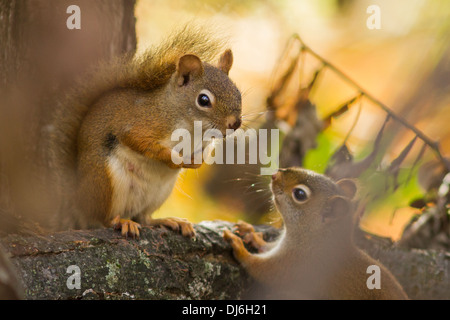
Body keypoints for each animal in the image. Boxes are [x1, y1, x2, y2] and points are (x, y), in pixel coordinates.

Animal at [50, 26, 243, 238]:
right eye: (204, 100)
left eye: (238, 93)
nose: (235, 123)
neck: (194, 129)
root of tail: (78, 197)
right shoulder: (141, 124)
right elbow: (140, 141)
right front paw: (175, 159)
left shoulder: (205, 143)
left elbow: (204, 155)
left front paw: (196, 163)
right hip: (105, 182)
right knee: (103, 218)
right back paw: (122, 222)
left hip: (159, 194)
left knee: (144, 218)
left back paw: (169, 221)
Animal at [224, 168, 408, 300]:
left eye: (300, 194)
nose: (275, 175)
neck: (315, 239)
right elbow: (266, 247)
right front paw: (251, 234)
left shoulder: (295, 265)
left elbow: (263, 270)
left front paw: (238, 246)